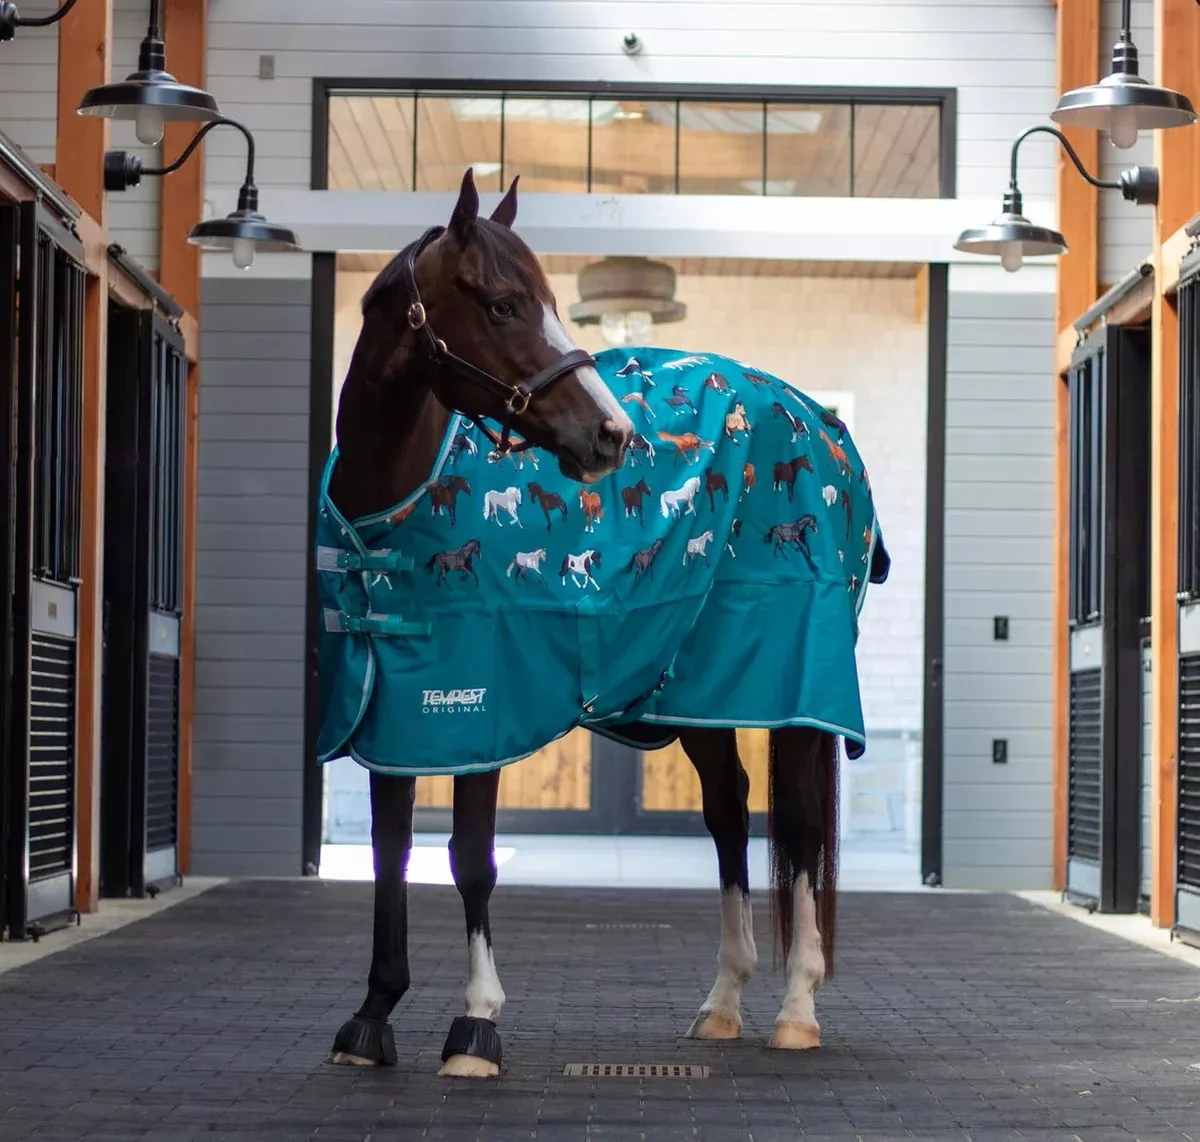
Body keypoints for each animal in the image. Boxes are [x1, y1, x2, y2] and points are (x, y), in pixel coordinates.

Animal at [321, 168, 888, 1082]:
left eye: (552, 301)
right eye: (505, 304)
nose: (611, 434)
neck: (397, 505)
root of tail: (822, 425)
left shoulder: (480, 707)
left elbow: (469, 858)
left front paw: (475, 1026)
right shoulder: (396, 712)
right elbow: (390, 851)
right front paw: (371, 1017)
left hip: (796, 691)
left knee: (798, 828)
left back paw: (797, 1009)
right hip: (702, 694)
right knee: (729, 812)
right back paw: (722, 1003)